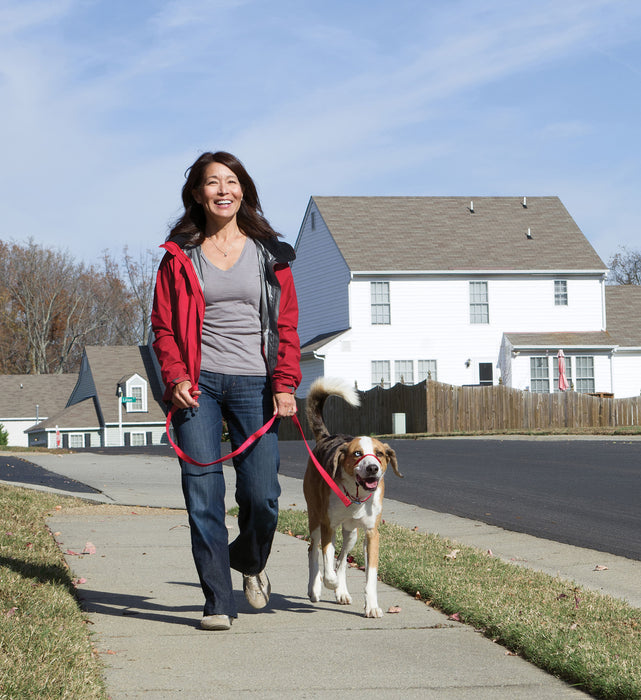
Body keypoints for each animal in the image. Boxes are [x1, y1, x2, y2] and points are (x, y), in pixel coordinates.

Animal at [304, 378, 402, 616]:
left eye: (379, 453)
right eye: (357, 453)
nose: (373, 468)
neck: (356, 497)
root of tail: (327, 438)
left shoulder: (371, 533)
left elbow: (370, 575)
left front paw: (372, 606)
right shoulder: (328, 525)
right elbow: (327, 558)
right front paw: (328, 582)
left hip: (352, 533)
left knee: (341, 560)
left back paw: (341, 592)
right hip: (315, 519)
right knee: (313, 550)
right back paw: (315, 589)